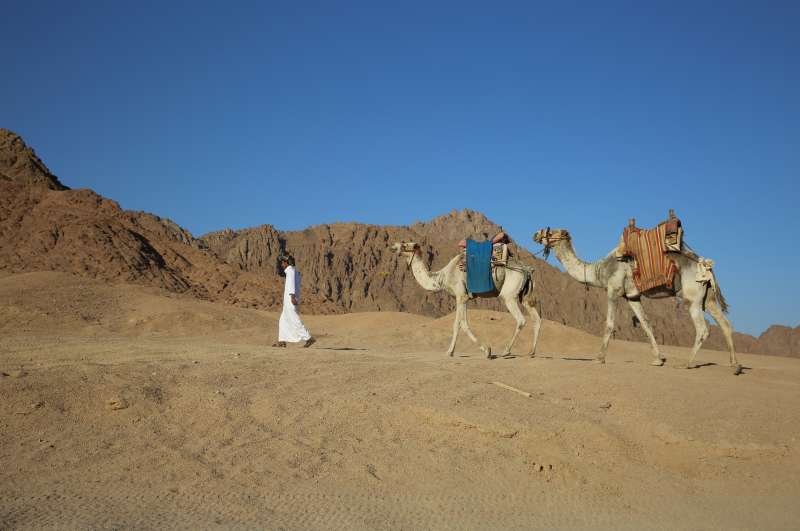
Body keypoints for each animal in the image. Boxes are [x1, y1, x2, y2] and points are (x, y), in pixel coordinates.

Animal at [390, 243, 540, 360]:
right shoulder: (464, 297)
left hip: (509, 295)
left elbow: (460, 324)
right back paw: (531, 352)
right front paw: (451, 351)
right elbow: (460, 323)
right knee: (537, 319)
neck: (442, 277)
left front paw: (486, 351)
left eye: (405, 245)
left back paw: (506, 351)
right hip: (524, 296)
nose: (393, 247)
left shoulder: (460, 295)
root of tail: (527, 270)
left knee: (521, 319)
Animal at [536, 229, 740, 374]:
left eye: (552, 232)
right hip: (708, 298)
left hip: (692, 297)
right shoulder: (632, 296)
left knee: (703, 329)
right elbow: (646, 324)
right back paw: (735, 365)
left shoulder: (613, 290)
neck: (600, 270)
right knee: (725, 324)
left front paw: (599, 358)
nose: (536, 234)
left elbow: (609, 324)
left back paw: (687, 364)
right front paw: (658, 359)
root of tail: (706, 265)